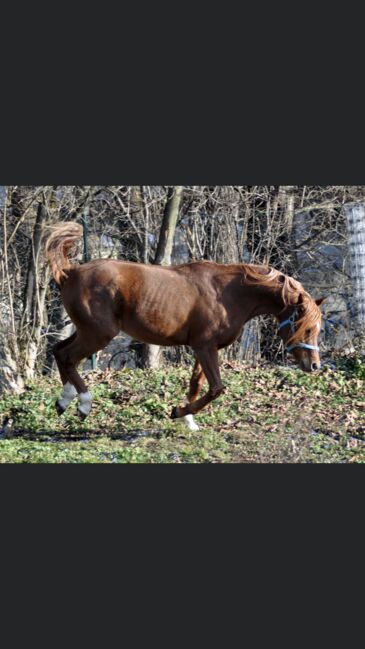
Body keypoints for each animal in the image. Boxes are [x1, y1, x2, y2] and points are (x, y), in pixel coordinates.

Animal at [44, 223, 322, 430]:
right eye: (307, 328)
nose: (315, 366)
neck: (229, 294)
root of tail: (70, 272)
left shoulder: (205, 348)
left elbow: (197, 384)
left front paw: (188, 419)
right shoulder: (204, 346)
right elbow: (216, 388)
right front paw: (178, 412)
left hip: (86, 331)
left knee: (60, 351)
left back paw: (64, 401)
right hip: (99, 334)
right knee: (68, 356)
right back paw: (83, 404)